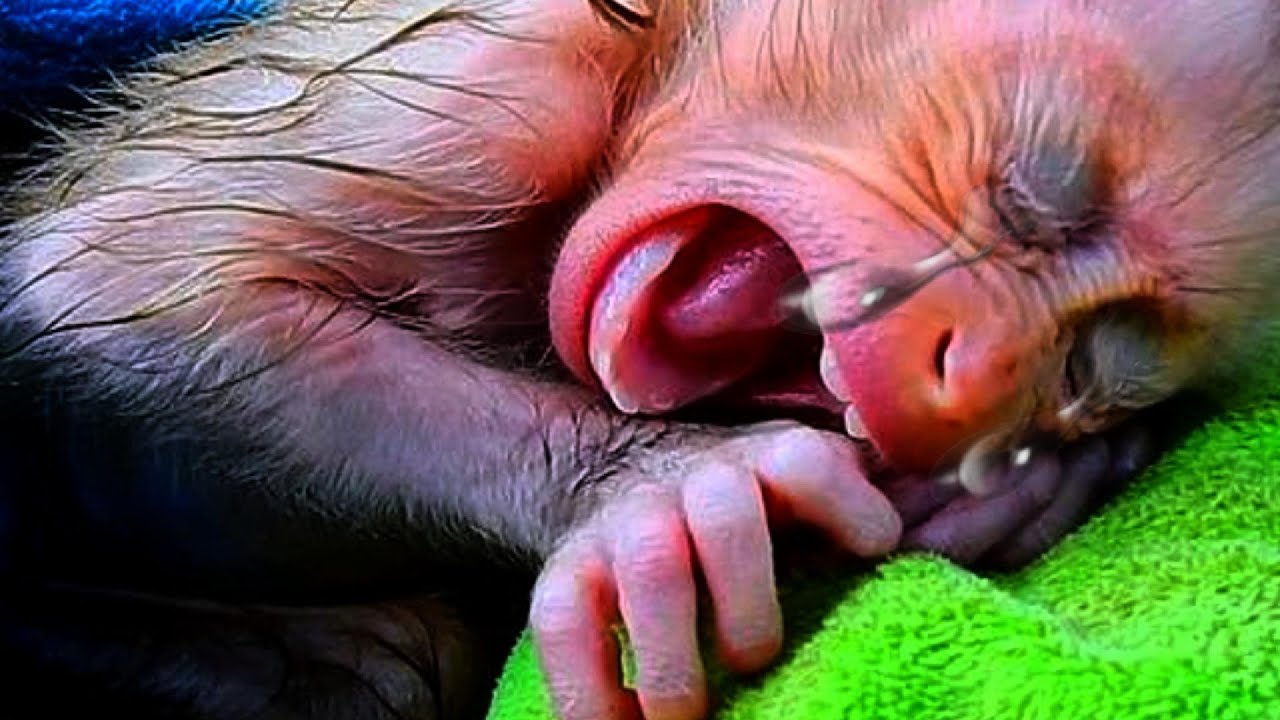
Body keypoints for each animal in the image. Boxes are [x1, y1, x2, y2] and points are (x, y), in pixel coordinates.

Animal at [0, 1, 1275, 719]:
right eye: (1028, 199)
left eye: (1078, 372)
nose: (971, 372)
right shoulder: (483, 79)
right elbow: (98, 292)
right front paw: (659, 494)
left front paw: (1028, 482)